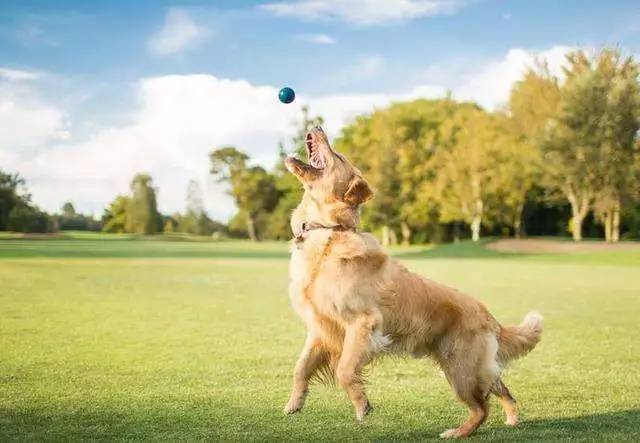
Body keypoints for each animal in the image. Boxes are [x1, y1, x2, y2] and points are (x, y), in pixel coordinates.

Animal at [282, 126, 544, 438]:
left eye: (338, 156)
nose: (318, 127)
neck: (330, 233)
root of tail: (491, 318)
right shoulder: (321, 328)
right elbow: (300, 368)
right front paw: (294, 403)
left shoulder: (363, 324)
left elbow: (344, 370)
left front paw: (361, 405)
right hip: (469, 368)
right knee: (502, 389)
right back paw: (512, 419)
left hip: (460, 370)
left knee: (482, 408)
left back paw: (457, 432)